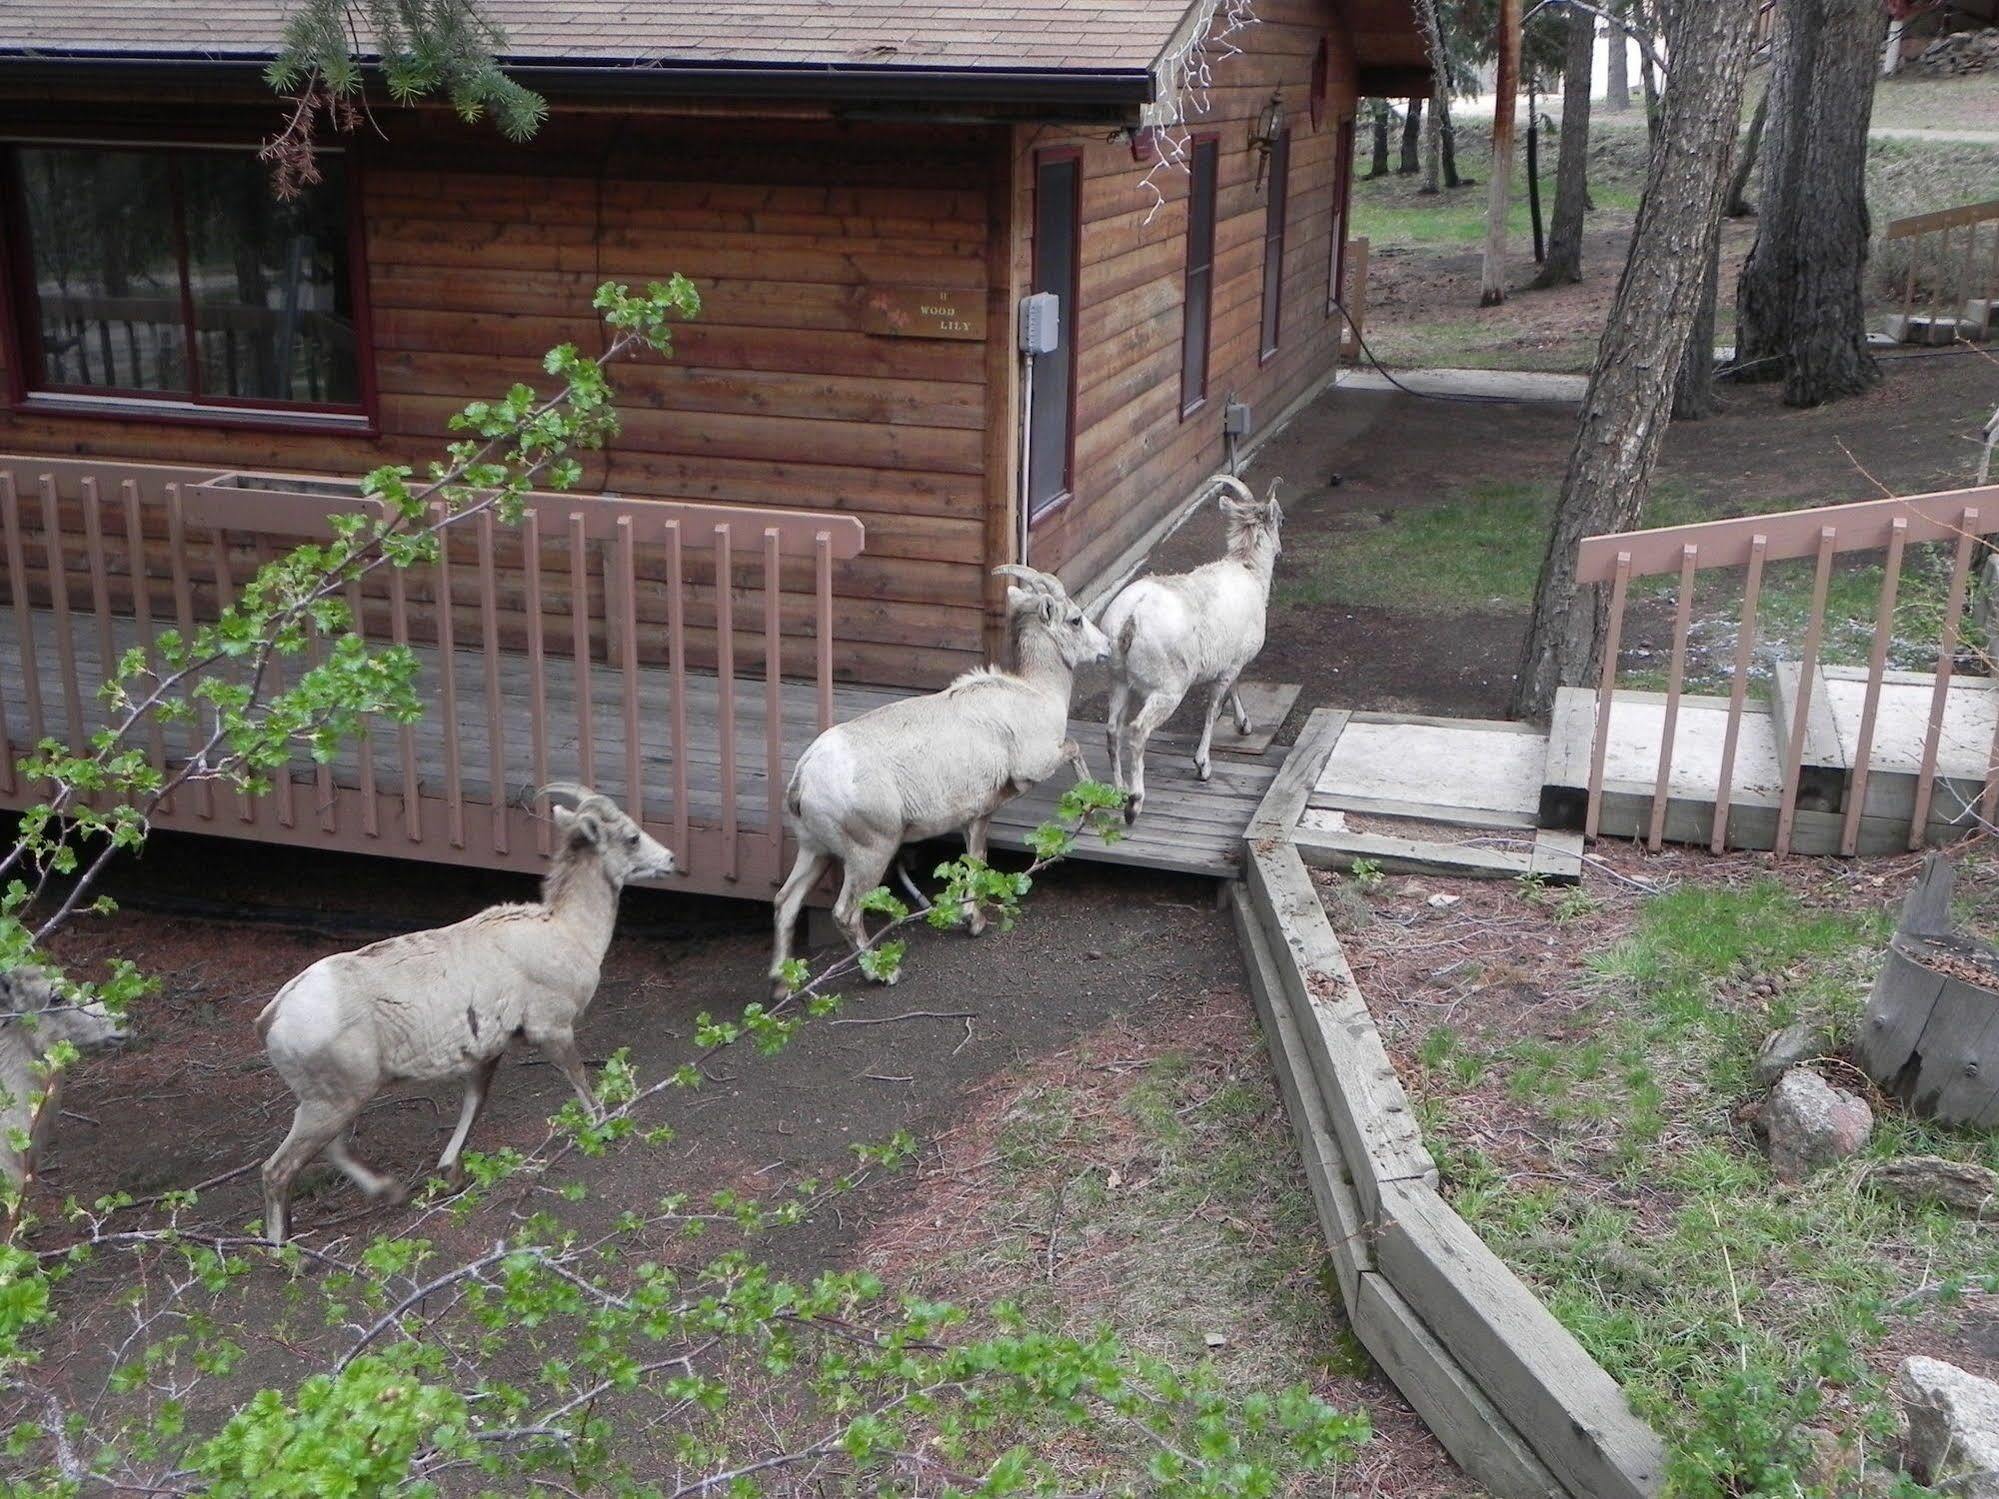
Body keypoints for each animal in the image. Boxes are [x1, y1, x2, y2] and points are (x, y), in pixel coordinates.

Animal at [257, 787, 675, 1247]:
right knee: (277, 1170)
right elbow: (580, 1079)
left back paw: (389, 1193)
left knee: (330, 1149)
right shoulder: (553, 1030)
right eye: (632, 837)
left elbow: (474, 1104)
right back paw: (283, 1248)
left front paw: (450, 1175)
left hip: (330, 1103)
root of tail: (275, 1015)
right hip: (331, 1104)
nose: (671, 859)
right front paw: (603, 1125)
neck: (565, 931)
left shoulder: (487, 1054)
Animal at [763, 563, 1111, 999]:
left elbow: (975, 861)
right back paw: (883, 974)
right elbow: (1076, 748)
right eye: (1076, 619)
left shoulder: (976, 817)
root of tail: (804, 778)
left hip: (815, 850)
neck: (1036, 694)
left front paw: (972, 921)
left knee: (785, 902)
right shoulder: (1036, 764)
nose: (1107, 647)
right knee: (845, 913)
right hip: (870, 853)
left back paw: (780, 987)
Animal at [1095, 475, 1279, 823]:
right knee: (1137, 731)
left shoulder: (1231, 660)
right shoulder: (1230, 665)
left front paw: (1244, 726)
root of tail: (1131, 617)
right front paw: (1203, 765)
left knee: (1112, 730)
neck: (1249, 571)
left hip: (1118, 679)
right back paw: (1134, 803)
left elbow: (1233, 690)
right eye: (1282, 519)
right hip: (1167, 689)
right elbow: (1213, 707)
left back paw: (1118, 791)